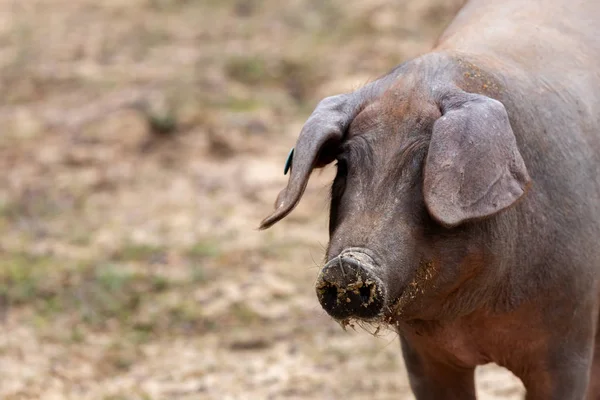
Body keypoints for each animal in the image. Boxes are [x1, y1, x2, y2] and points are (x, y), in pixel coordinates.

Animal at [258, 0, 600, 398]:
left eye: (427, 165)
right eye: (343, 165)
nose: (348, 264)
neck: (469, 316)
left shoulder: (568, 341)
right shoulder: (421, 353)